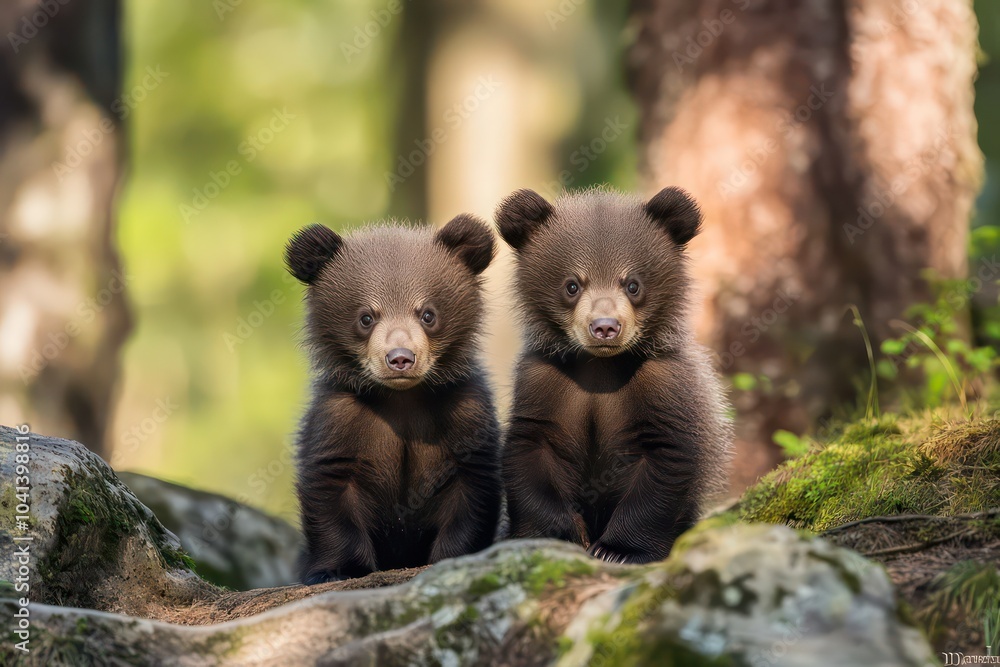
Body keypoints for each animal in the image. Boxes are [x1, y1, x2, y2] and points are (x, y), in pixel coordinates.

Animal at [285, 214, 503, 583]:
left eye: (427, 314)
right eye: (366, 317)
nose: (400, 358)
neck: (402, 400)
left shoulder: (465, 414)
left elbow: (471, 490)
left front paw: (453, 558)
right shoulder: (340, 417)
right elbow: (331, 488)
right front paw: (337, 570)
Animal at [495, 186, 732, 565]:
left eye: (632, 284)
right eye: (572, 285)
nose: (605, 327)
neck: (601, 367)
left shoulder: (661, 384)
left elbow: (664, 463)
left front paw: (618, 550)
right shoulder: (544, 381)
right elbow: (530, 453)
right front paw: (561, 533)